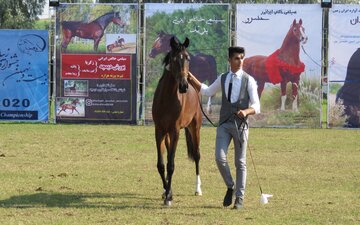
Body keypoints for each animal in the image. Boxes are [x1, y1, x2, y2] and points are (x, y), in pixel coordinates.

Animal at [152, 35, 202, 206]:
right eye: (174, 59)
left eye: (188, 58)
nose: (183, 86)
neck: (167, 98)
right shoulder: (159, 131)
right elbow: (161, 165)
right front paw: (167, 192)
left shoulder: (175, 131)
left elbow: (171, 165)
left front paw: (168, 197)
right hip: (167, 134)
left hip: (195, 128)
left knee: (197, 155)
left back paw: (198, 189)